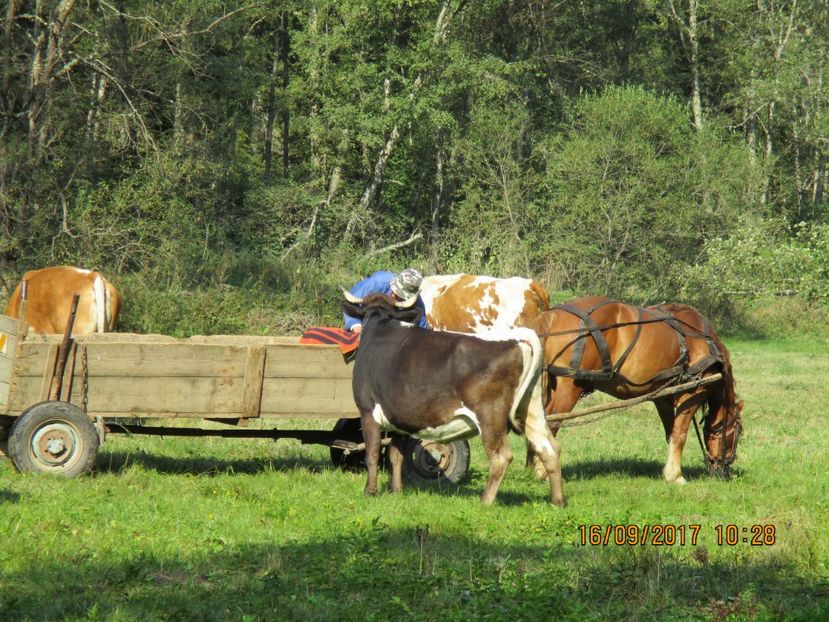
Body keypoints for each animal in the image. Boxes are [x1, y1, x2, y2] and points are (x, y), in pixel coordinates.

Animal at [340, 292, 568, 508]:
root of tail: (519, 336)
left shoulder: (368, 411)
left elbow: (372, 454)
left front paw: (370, 492)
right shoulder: (399, 420)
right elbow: (396, 457)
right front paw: (397, 491)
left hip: (490, 414)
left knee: (501, 456)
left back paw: (486, 500)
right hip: (531, 407)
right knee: (549, 447)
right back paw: (558, 500)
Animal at [532, 300, 740, 486]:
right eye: (737, 433)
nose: (726, 473)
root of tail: (552, 316)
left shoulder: (663, 397)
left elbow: (670, 433)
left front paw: (669, 471)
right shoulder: (693, 390)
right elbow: (680, 434)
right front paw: (676, 476)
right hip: (569, 387)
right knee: (550, 423)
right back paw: (544, 471)